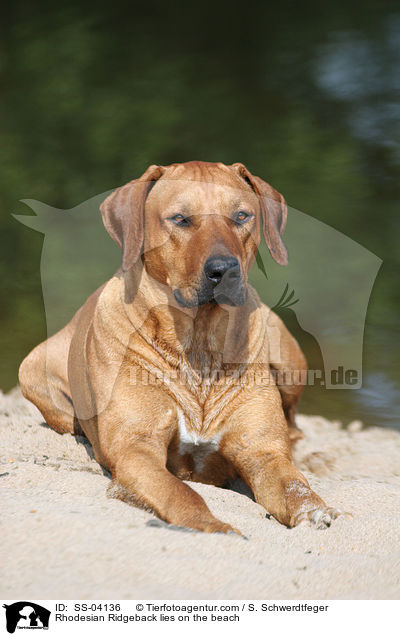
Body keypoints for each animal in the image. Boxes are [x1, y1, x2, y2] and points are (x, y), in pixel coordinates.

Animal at [18, 161, 340, 536]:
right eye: (181, 219)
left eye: (241, 216)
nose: (224, 269)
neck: (198, 343)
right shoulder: (136, 449)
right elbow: (181, 492)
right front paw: (212, 525)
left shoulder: (263, 452)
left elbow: (293, 484)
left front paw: (313, 510)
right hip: (32, 369)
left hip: (287, 359)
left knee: (294, 424)